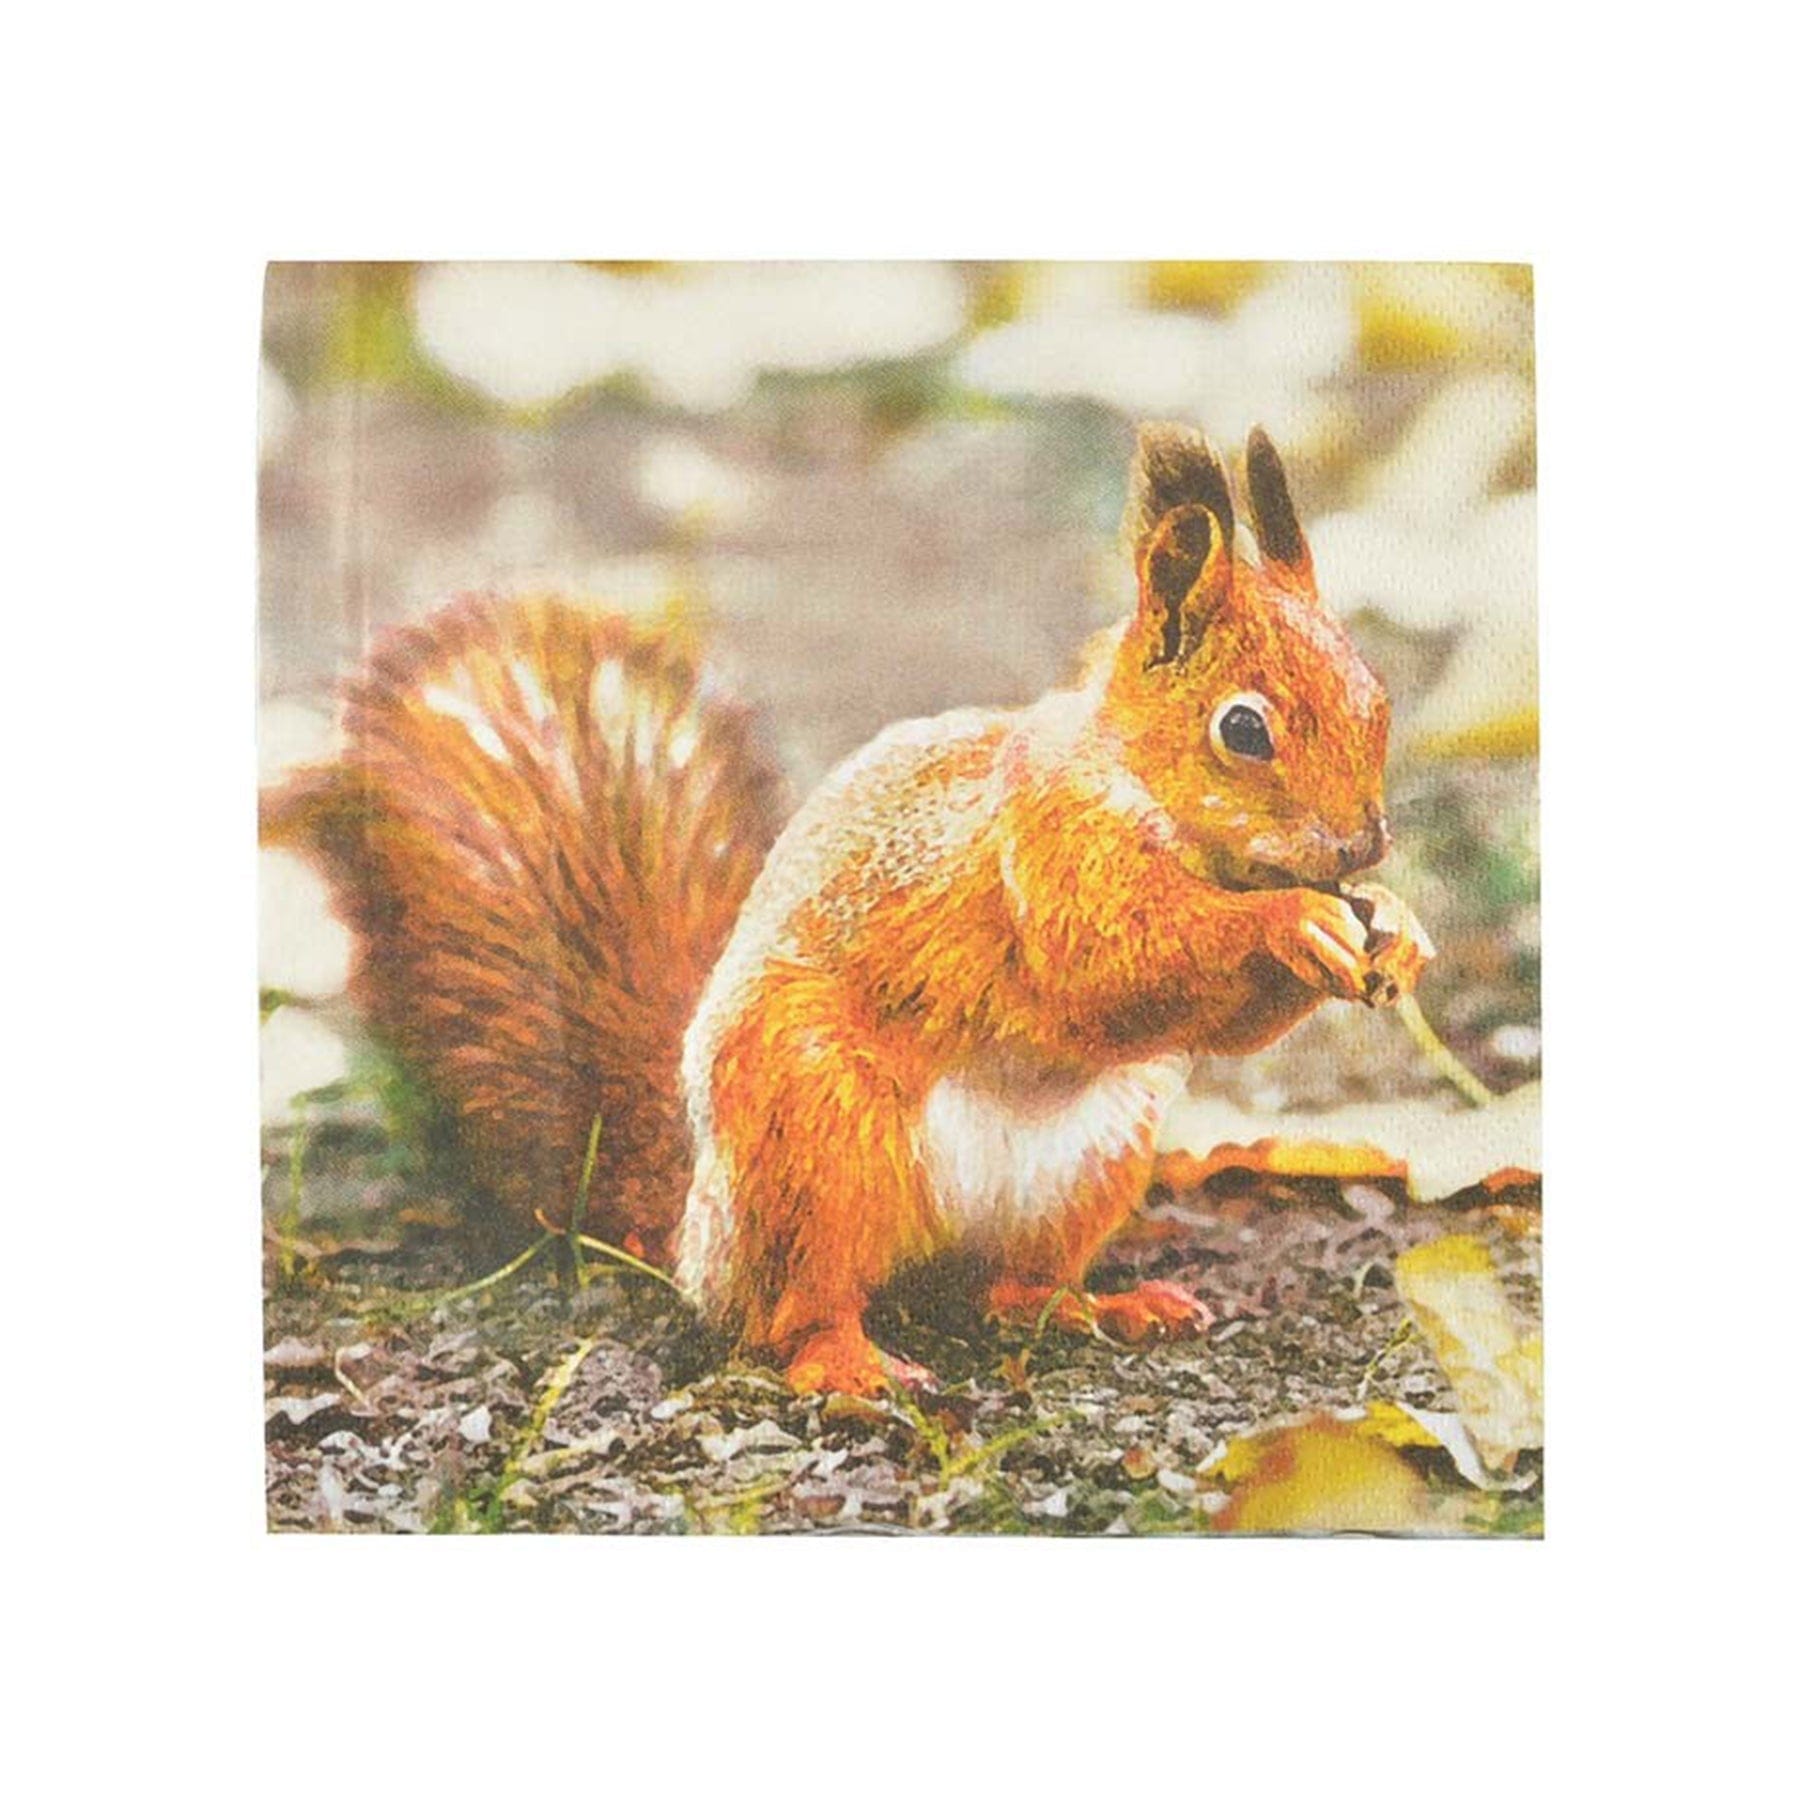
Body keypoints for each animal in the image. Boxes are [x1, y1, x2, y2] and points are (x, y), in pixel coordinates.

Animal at [264, 422, 1434, 1397]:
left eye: (1376, 697)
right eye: (1244, 730)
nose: (1362, 845)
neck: (1161, 809)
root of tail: (695, 1227)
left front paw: (1397, 930)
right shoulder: (1042, 850)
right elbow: (1111, 963)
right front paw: (1291, 925)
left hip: (1094, 1155)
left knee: (1005, 1289)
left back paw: (1099, 1305)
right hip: (812, 1130)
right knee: (794, 1308)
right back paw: (850, 1364)